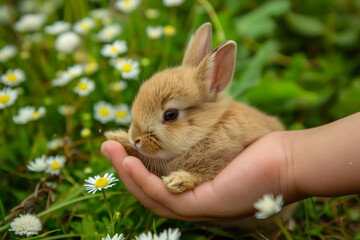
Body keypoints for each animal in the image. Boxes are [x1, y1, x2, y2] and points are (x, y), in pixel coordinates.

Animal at [104, 22, 284, 194]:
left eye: (170, 114)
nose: (135, 139)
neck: (209, 128)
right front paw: (116, 137)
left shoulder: (223, 156)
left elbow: (206, 172)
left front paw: (177, 181)